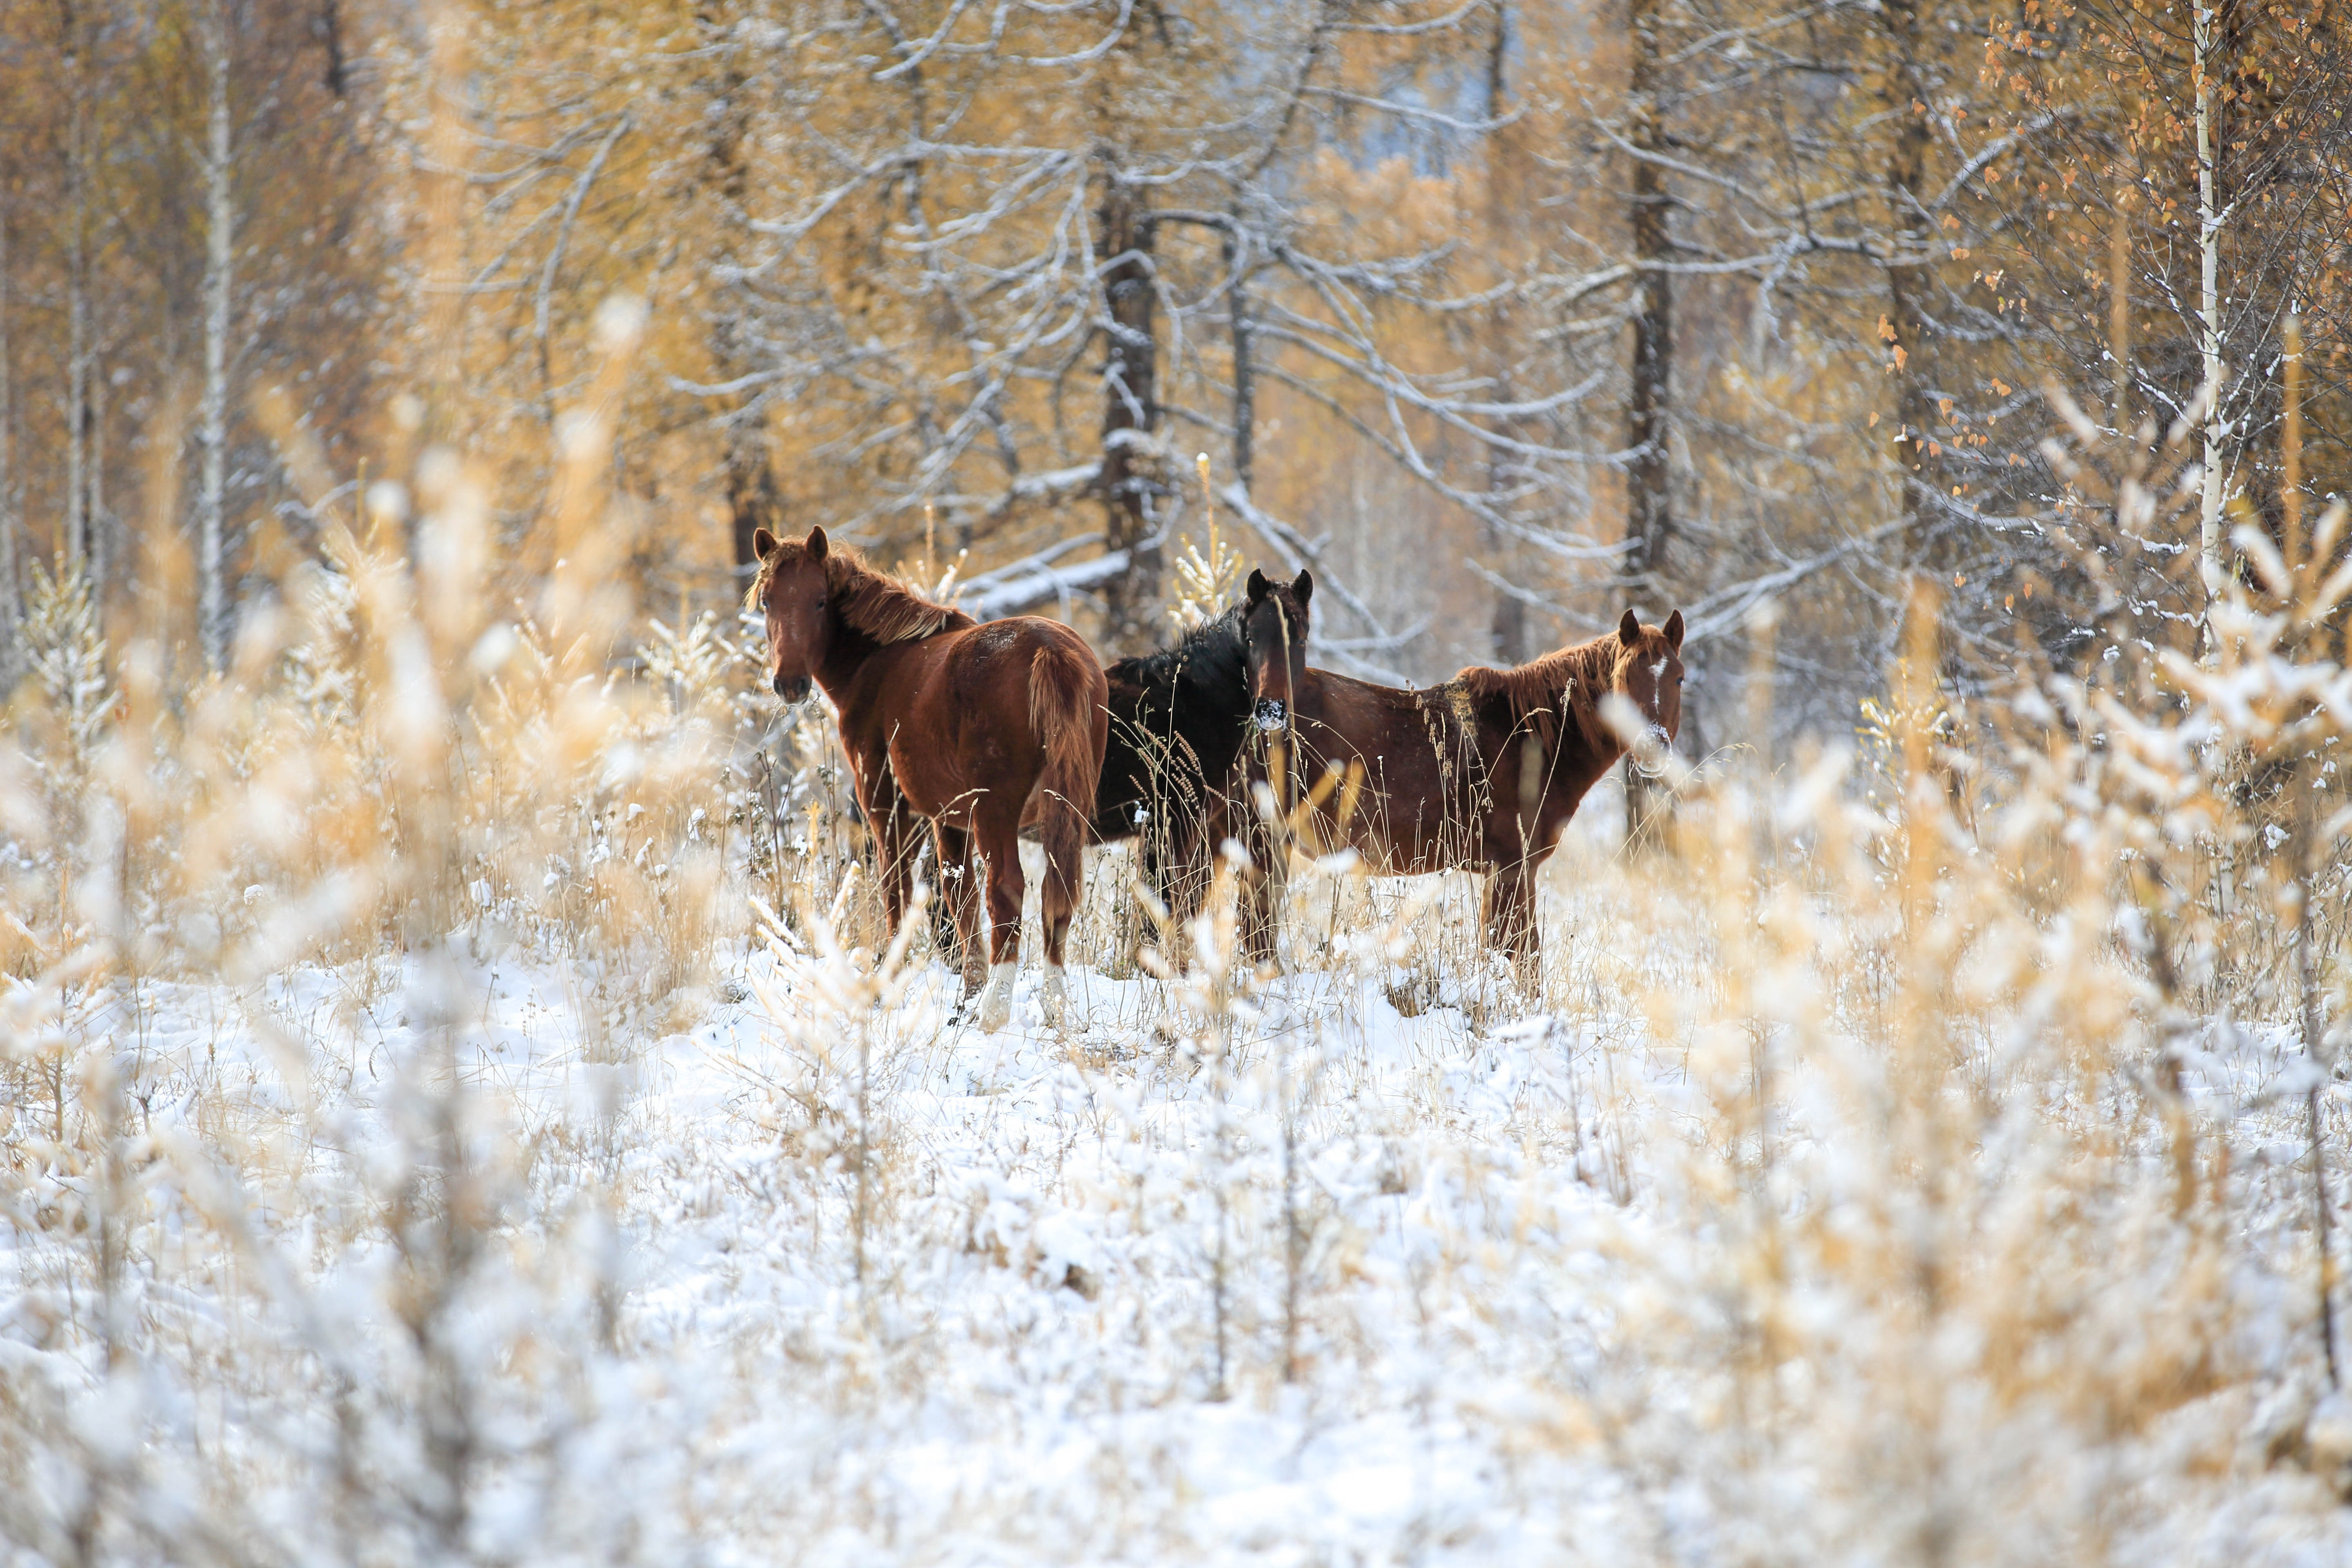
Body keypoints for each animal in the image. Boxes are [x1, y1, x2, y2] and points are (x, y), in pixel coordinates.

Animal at [749, 525, 1109, 1031]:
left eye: (819, 601)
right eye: (767, 601)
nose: (789, 683)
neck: (881, 662)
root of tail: (1050, 650)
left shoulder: (890, 807)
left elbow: (896, 891)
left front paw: (889, 983)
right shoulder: (948, 818)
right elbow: (959, 897)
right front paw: (968, 988)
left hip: (994, 812)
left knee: (1007, 891)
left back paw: (994, 1010)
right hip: (1062, 809)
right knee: (1056, 894)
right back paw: (1055, 1007)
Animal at [1242, 606, 1687, 971]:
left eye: (1680, 679)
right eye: (1624, 679)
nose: (1652, 745)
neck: (1528, 736)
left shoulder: (1499, 873)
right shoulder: (1512, 869)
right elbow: (1522, 959)